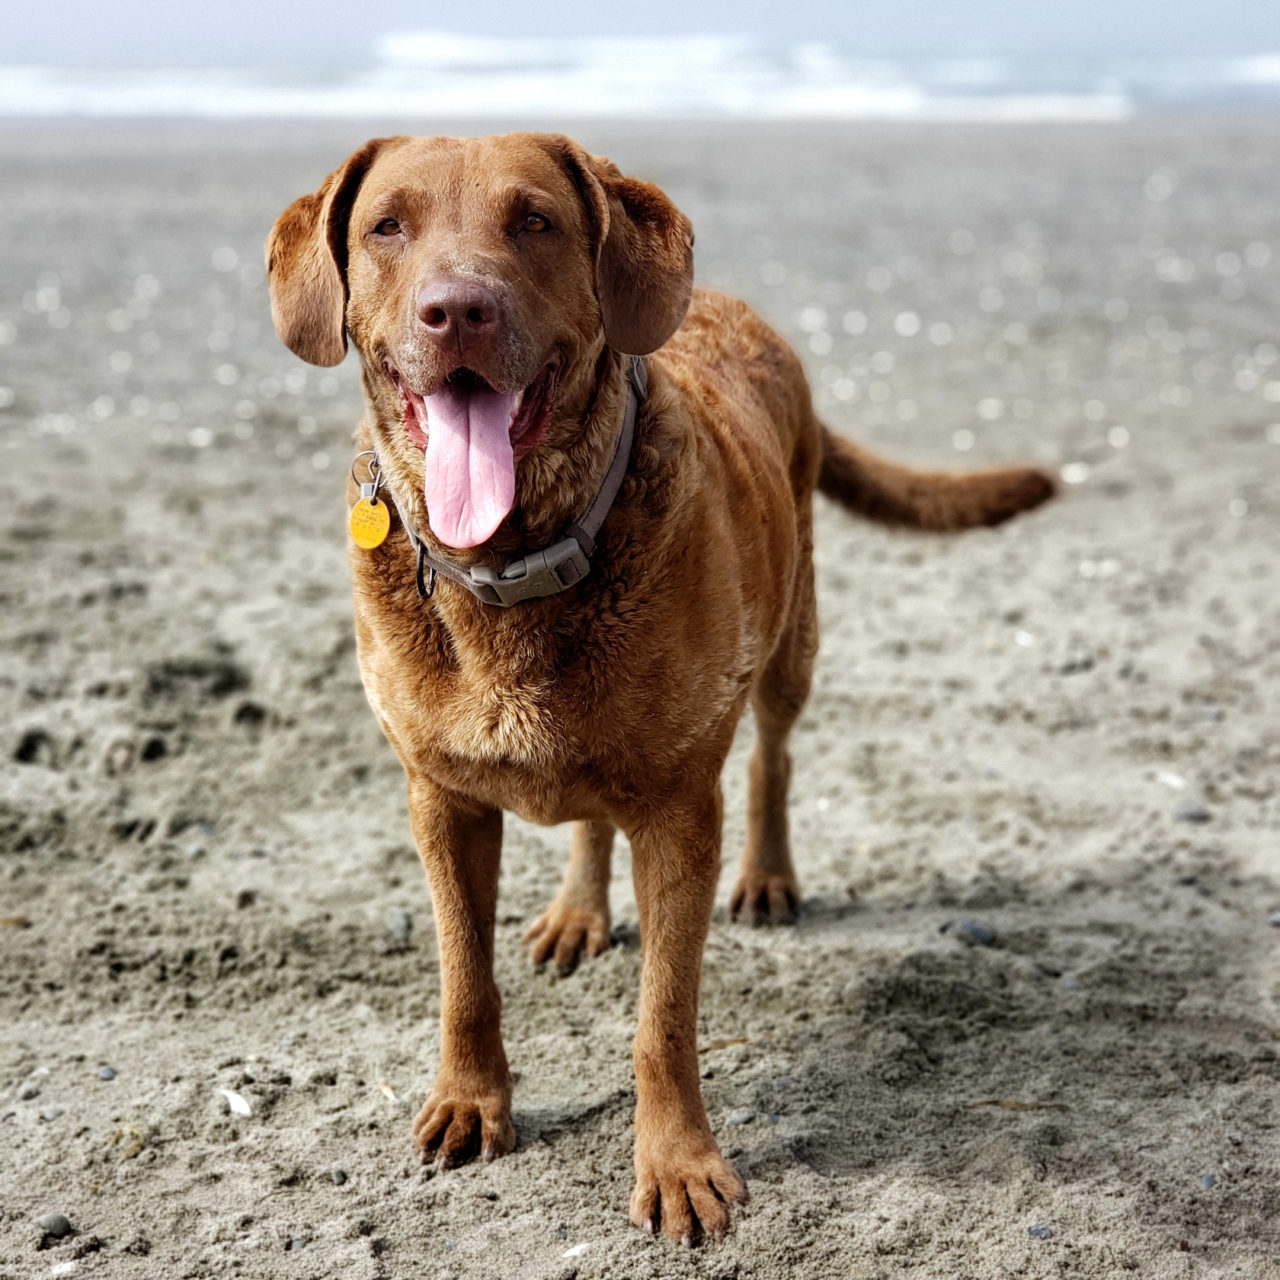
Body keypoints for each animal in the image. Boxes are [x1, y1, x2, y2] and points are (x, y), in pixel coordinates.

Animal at [264, 135, 1054, 1244]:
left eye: (535, 221)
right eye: (387, 226)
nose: (455, 311)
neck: (511, 567)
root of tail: (728, 300)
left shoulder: (681, 810)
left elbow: (662, 1016)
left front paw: (678, 1163)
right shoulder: (440, 798)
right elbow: (464, 974)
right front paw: (470, 1100)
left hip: (791, 636)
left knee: (773, 756)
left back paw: (767, 876)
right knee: (593, 814)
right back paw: (578, 910)